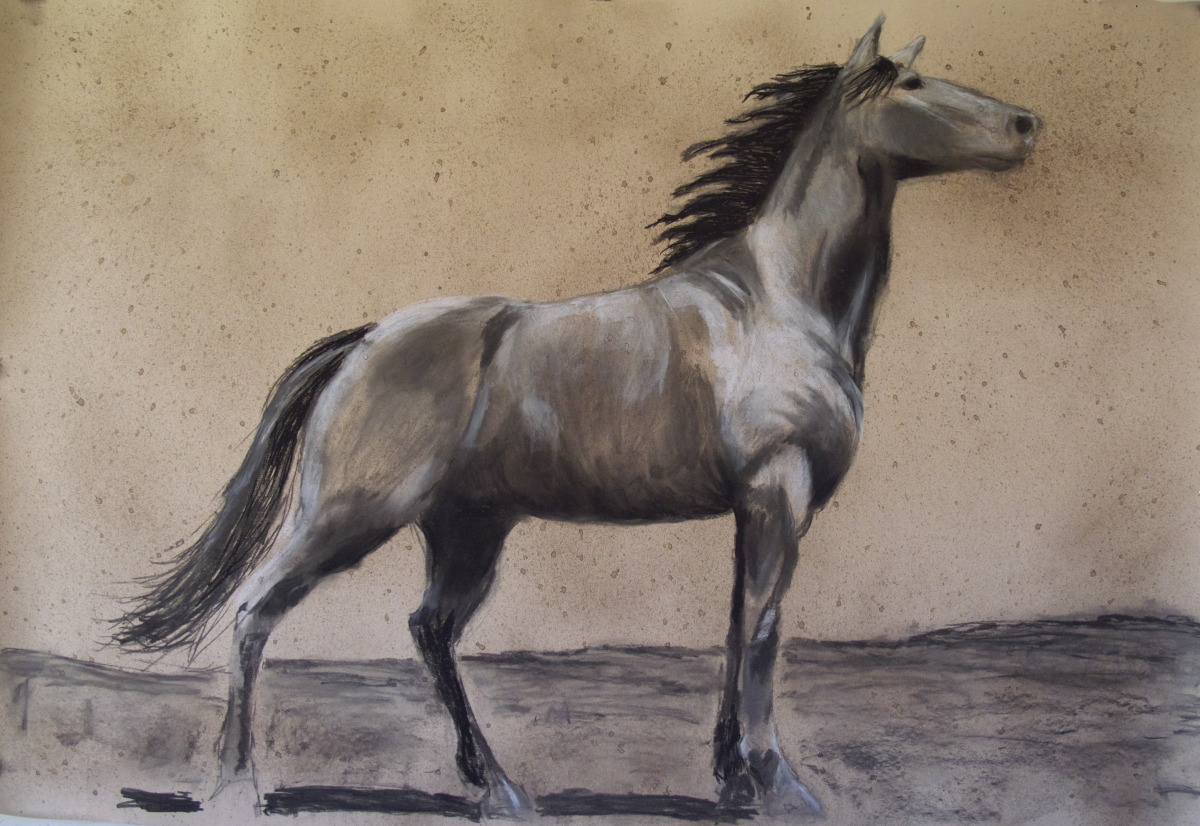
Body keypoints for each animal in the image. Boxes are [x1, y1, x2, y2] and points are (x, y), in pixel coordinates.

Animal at [114, 17, 1040, 819]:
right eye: (910, 82)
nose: (1027, 123)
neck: (779, 303)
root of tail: (364, 341)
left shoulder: (751, 511)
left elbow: (737, 629)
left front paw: (733, 780)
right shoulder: (779, 493)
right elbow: (766, 634)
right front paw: (782, 787)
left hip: (468, 530)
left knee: (428, 630)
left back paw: (496, 788)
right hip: (349, 517)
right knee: (254, 612)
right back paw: (239, 785)